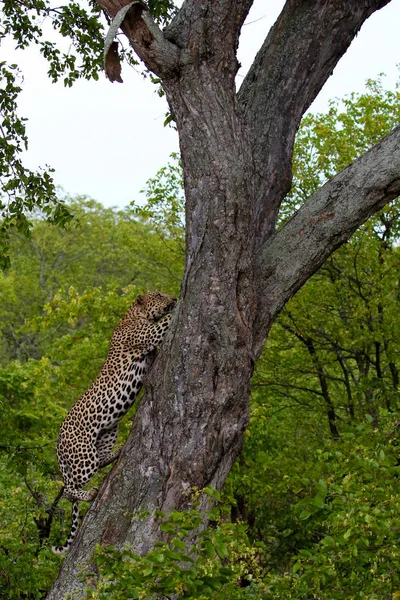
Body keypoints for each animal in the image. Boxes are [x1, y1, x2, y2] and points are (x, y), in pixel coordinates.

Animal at [52, 290, 177, 552]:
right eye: (158, 294)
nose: (172, 297)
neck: (135, 313)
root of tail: (57, 442)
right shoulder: (149, 335)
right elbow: (165, 321)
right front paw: (177, 304)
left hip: (108, 432)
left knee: (100, 461)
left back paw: (118, 452)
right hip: (83, 456)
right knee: (68, 489)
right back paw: (89, 495)